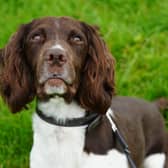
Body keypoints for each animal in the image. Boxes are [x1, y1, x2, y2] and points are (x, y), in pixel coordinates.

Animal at [0, 16, 167, 168]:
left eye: (77, 38)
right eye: (36, 37)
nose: (56, 56)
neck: (63, 122)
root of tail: (152, 105)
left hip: (157, 157)